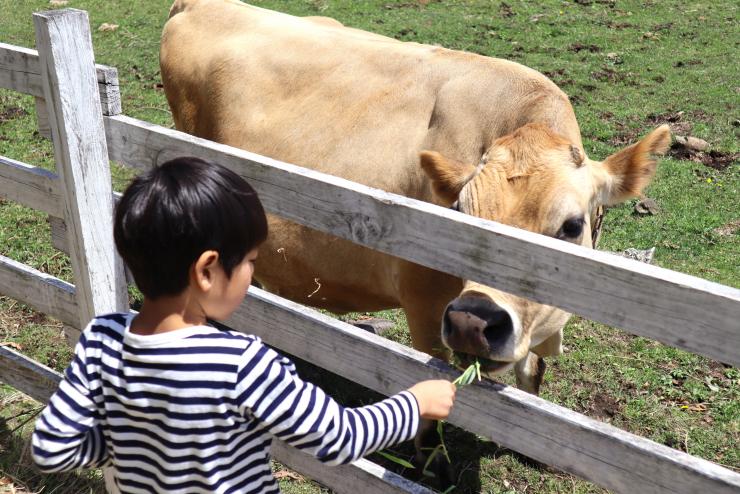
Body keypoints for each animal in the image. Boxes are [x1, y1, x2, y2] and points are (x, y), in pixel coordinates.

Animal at [162, 0, 672, 478]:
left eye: (570, 226)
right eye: (459, 215)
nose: (473, 322)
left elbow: (532, 374)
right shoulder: (424, 304)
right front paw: (432, 459)